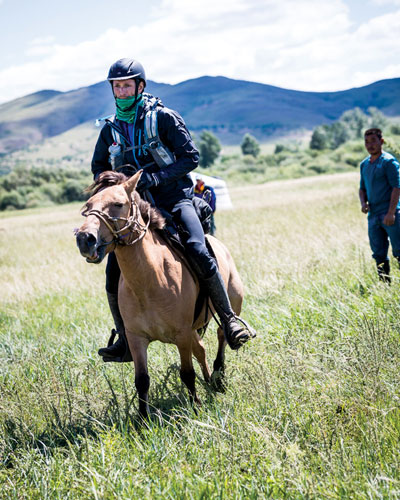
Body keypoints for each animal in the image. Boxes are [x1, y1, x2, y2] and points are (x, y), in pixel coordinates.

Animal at [74, 172, 245, 418]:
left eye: (118, 204)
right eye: (87, 207)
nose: (85, 239)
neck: (149, 281)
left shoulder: (182, 334)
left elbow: (186, 373)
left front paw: (196, 408)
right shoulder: (136, 338)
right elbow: (142, 380)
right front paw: (143, 420)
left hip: (231, 304)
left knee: (222, 334)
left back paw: (219, 375)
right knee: (201, 350)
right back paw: (209, 381)